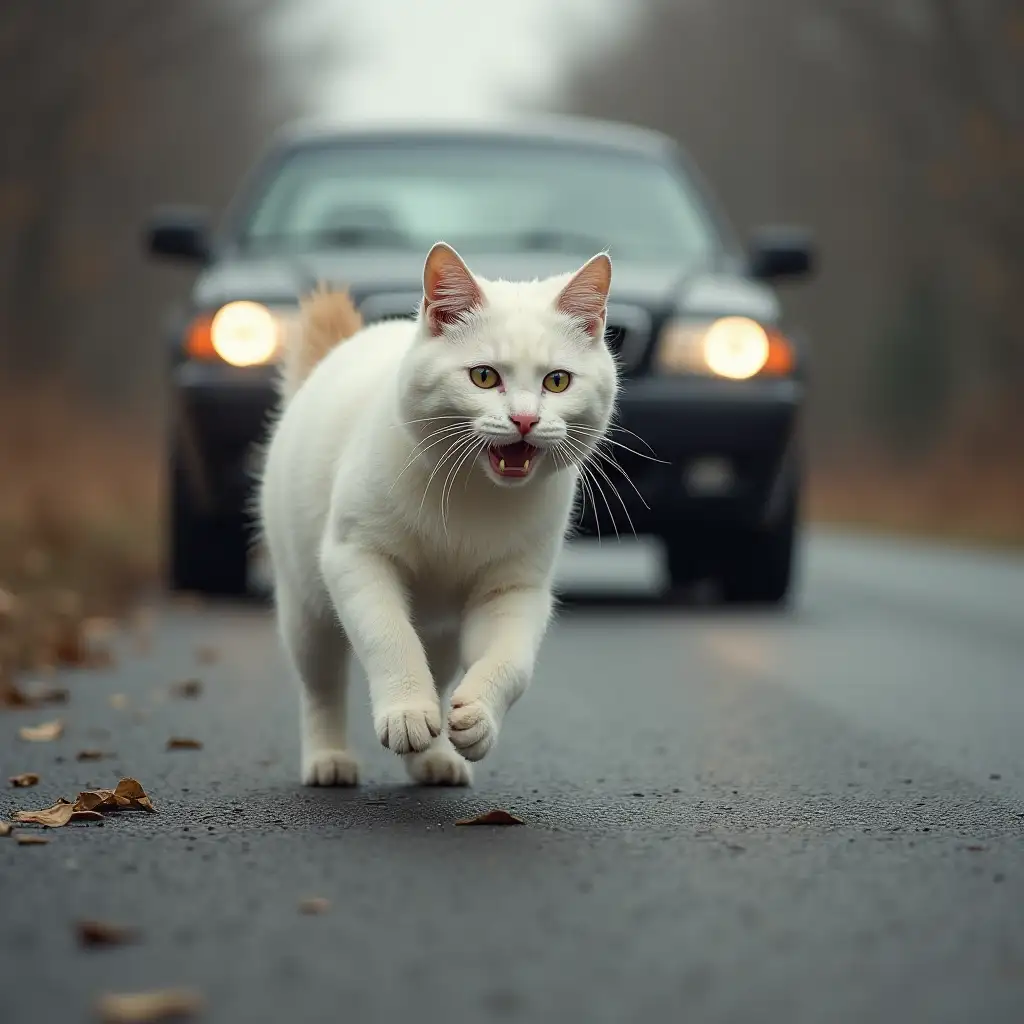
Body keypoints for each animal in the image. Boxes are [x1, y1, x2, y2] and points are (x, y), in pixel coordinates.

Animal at [260, 243, 618, 786]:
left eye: (557, 381)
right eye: (484, 376)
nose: (525, 420)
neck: (473, 494)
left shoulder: (514, 589)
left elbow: (511, 664)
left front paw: (478, 719)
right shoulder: (356, 558)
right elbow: (388, 637)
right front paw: (406, 711)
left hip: (443, 631)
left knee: (439, 668)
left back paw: (432, 759)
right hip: (306, 612)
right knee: (322, 685)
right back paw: (329, 757)